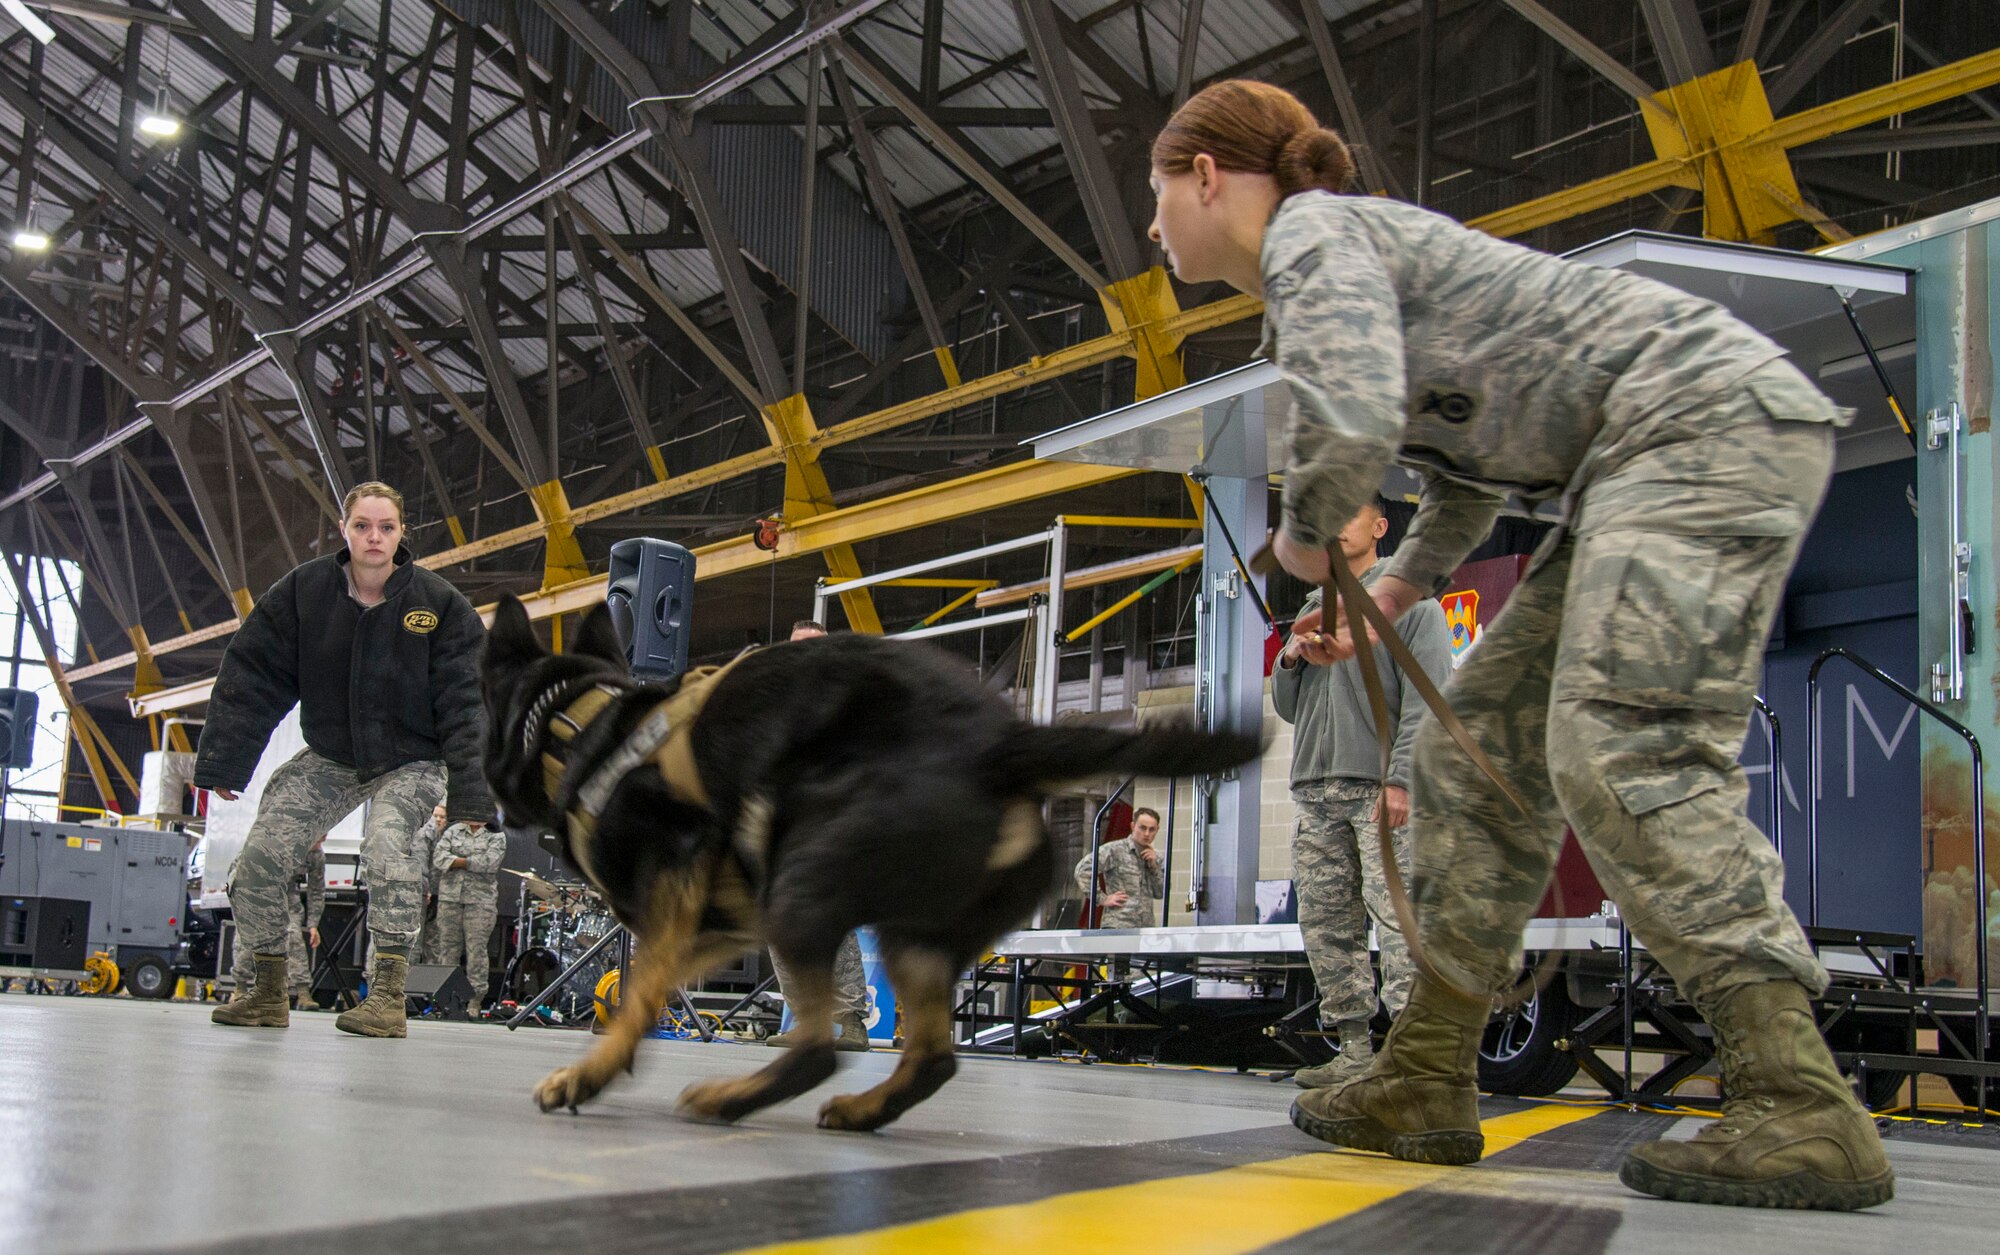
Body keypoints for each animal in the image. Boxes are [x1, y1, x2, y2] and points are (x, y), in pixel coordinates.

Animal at [482, 591, 1256, 1135]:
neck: (578, 725)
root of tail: (998, 747)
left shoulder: (677, 891)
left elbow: (638, 994)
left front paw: (591, 1073)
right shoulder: (712, 928)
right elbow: (649, 989)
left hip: (799, 898)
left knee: (819, 1048)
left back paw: (733, 1098)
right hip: (907, 937)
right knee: (932, 1055)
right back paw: (863, 1110)